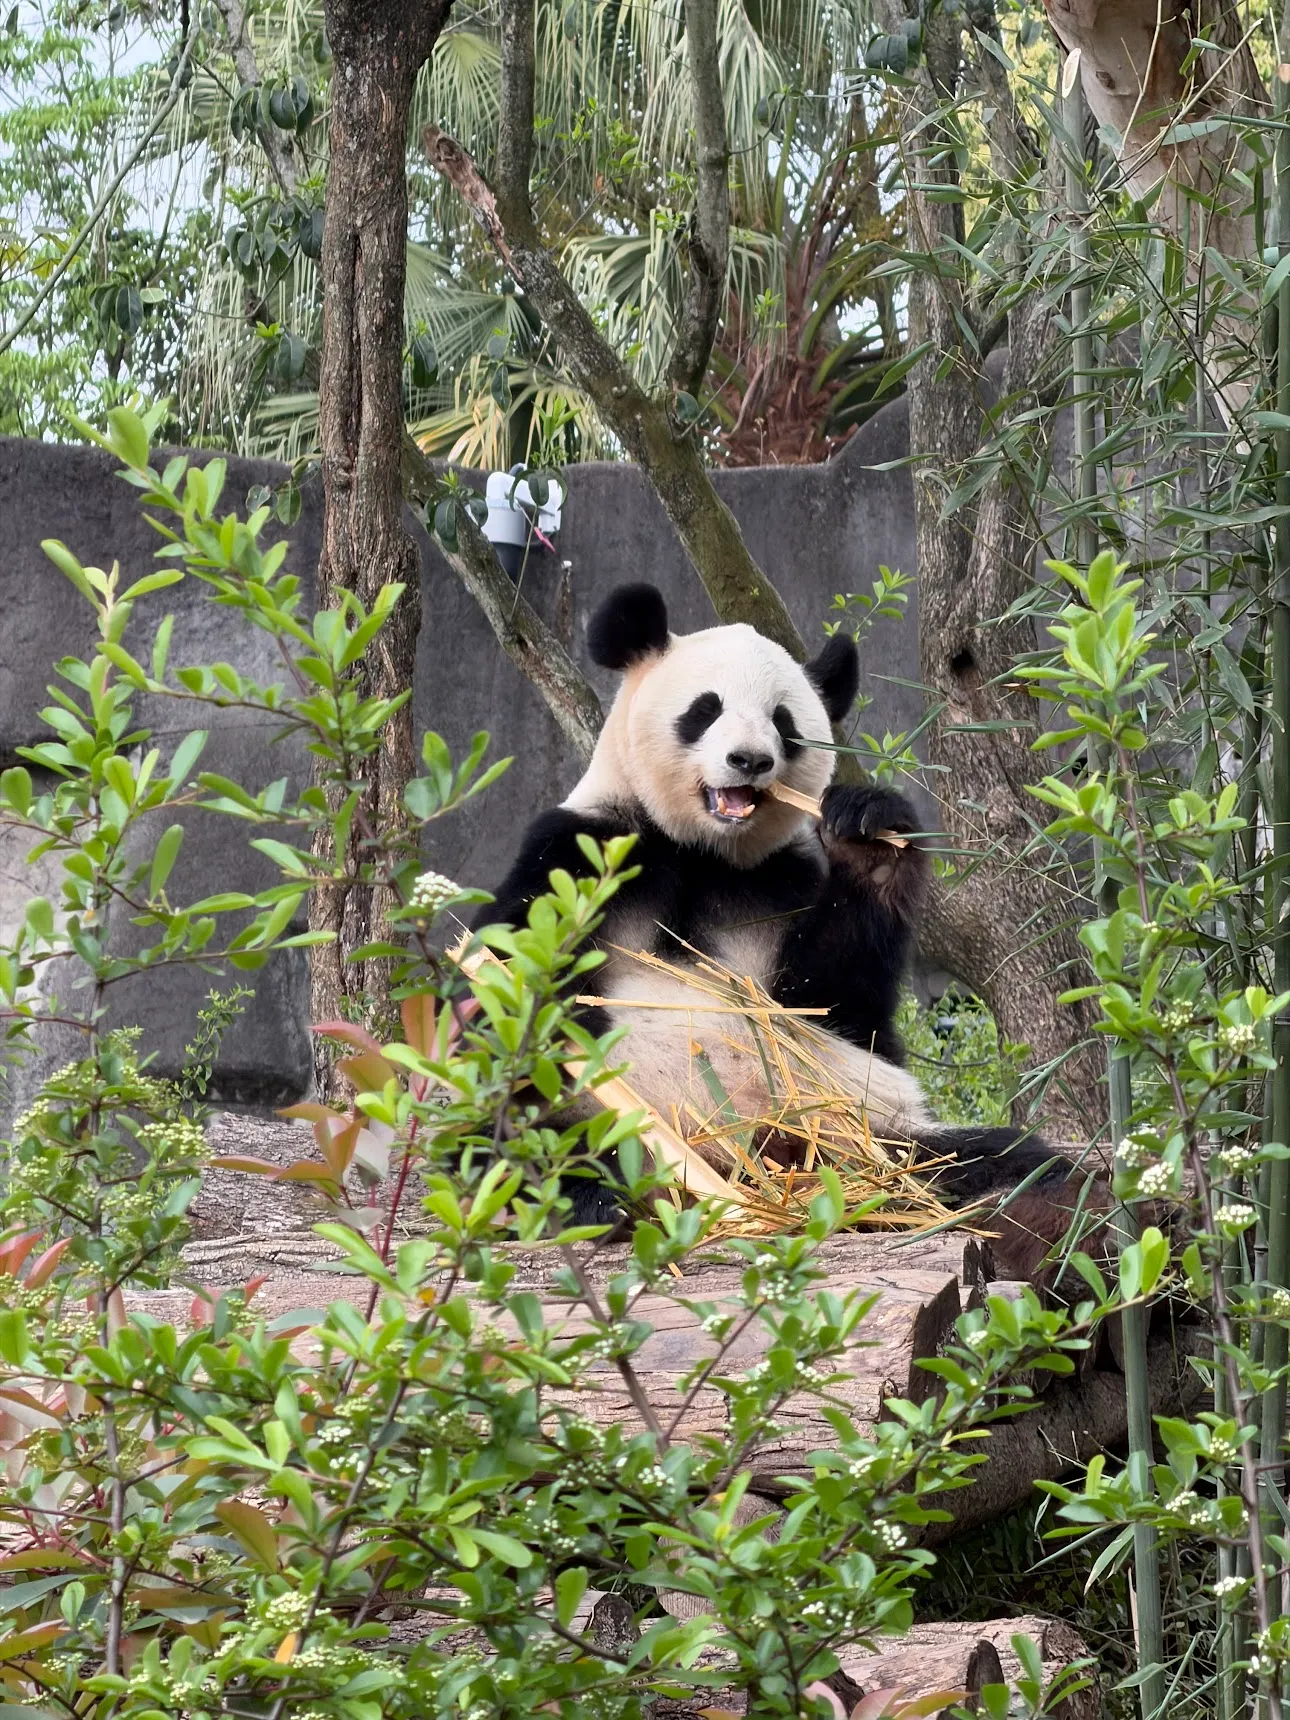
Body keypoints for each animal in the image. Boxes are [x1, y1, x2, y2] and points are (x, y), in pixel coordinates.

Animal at [474, 583, 1096, 1281]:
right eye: (706, 709)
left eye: (784, 722)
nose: (750, 759)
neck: (702, 849)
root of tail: (752, 1167)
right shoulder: (579, 853)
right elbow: (505, 982)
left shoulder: (782, 884)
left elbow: (835, 1007)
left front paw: (870, 838)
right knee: (528, 1142)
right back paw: (588, 1196)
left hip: (862, 1126)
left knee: (991, 1159)